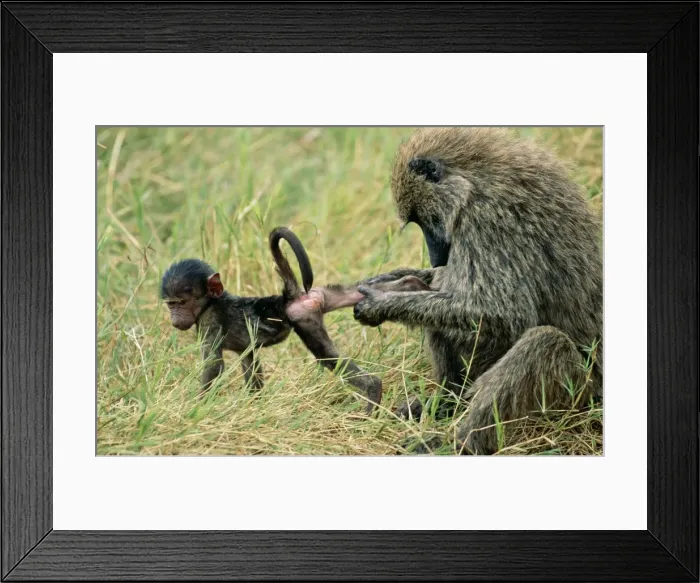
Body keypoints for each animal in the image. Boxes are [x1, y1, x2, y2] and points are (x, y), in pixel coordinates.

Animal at [161, 227, 390, 413]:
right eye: (170, 304)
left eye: (182, 303)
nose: (175, 319)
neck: (211, 302)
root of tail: (289, 297)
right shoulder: (245, 348)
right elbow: (249, 361)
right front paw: (255, 407)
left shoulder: (210, 322)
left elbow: (214, 366)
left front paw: (196, 408)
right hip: (323, 295)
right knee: (354, 294)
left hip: (302, 316)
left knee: (326, 357)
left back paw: (373, 389)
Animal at [351, 127, 603, 454]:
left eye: (424, 218)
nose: (437, 258)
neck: (475, 180)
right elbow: (444, 286)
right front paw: (393, 279)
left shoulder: (487, 219)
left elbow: (504, 313)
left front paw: (380, 303)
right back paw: (446, 403)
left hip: (576, 393)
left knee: (542, 342)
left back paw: (457, 442)